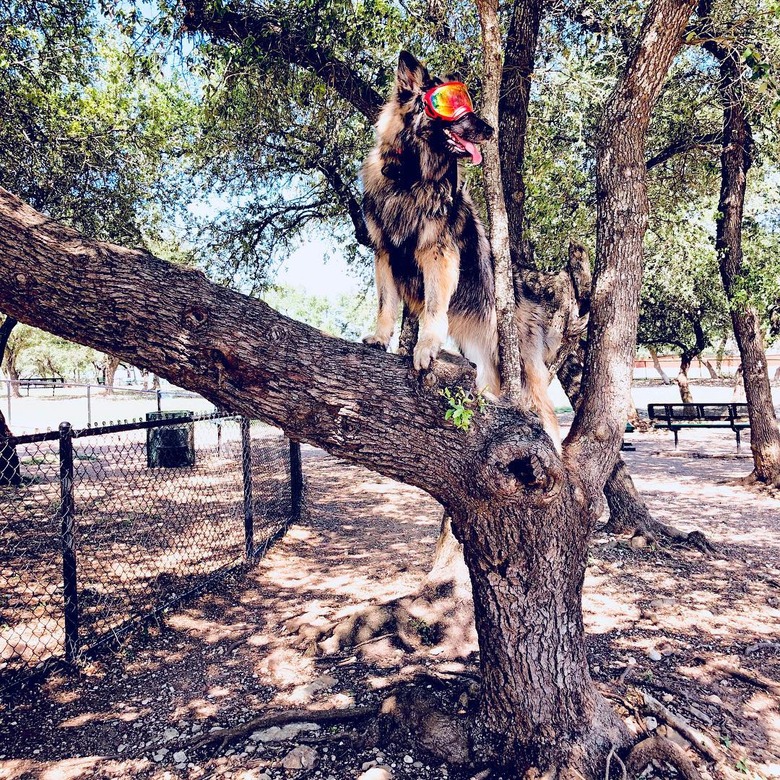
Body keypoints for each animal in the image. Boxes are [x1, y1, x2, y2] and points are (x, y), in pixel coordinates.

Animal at [360, 51, 560, 448]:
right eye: (451, 106)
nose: (490, 130)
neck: (410, 177)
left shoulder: (437, 254)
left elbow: (434, 308)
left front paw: (425, 346)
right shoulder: (384, 254)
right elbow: (386, 304)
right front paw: (380, 337)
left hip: (519, 366)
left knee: (547, 418)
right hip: (485, 360)